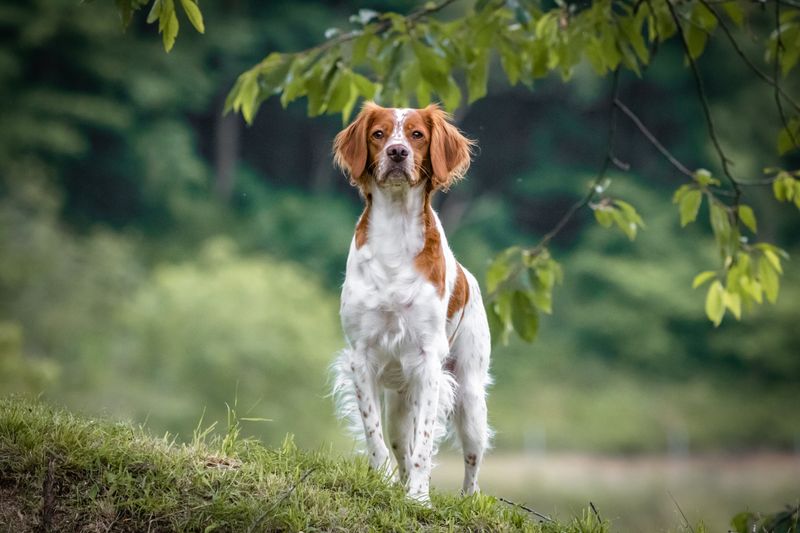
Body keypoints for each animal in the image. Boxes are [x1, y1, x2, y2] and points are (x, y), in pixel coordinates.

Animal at [328, 101, 490, 502]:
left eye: (417, 134)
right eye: (378, 134)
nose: (397, 153)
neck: (396, 234)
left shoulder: (429, 361)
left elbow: (425, 443)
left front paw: (419, 498)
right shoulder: (362, 357)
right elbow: (375, 436)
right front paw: (384, 483)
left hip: (470, 398)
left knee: (472, 461)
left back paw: (466, 498)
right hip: (400, 404)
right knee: (401, 443)